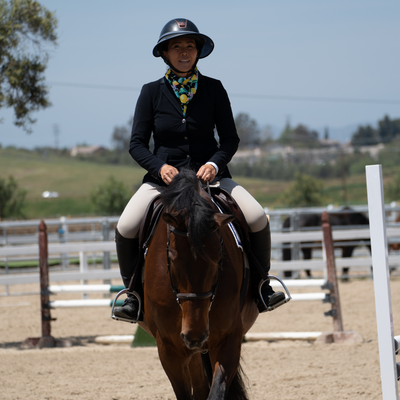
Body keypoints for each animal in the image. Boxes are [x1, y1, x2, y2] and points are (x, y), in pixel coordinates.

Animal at [136, 170, 258, 400]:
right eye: (172, 258)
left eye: (219, 259)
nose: (195, 336)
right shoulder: (168, 348)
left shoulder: (229, 338)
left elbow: (216, 391)